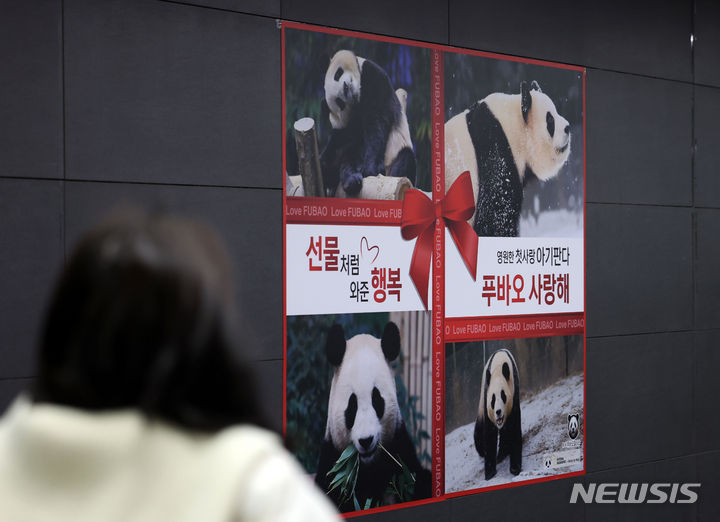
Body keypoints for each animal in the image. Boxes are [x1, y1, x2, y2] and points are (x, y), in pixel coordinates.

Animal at [316, 320, 428, 508]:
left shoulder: (401, 451)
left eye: (377, 401)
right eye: (352, 407)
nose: (366, 440)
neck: (368, 468)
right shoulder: (333, 462)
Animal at [320, 49, 416, 196]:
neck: (359, 97)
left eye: (338, 74)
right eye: (340, 102)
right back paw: (351, 181)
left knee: (405, 158)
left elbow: (377, 123)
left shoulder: (373, 76)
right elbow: (341, 141)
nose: (346, 88)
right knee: (347, 159)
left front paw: (371, 167)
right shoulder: (347, 124)